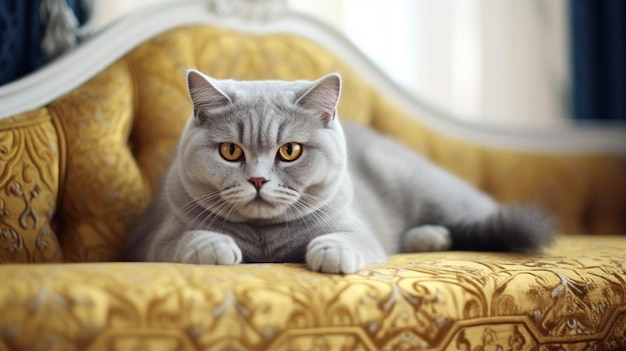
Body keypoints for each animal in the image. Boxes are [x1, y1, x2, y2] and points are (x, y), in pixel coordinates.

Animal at [124, 70, 552, 274]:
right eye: (231, 151)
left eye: (289, 151)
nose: (258, 180)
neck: (265, 242)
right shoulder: (154, 240)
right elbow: (184, 240)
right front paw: (216, 247)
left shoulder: (353, 226)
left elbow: (351, 240)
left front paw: (331, 253)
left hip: (434, 192)